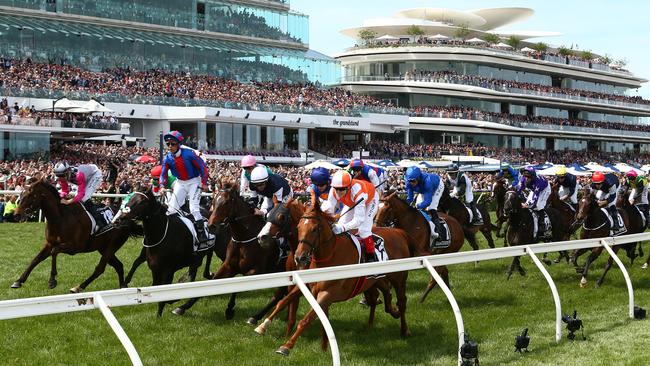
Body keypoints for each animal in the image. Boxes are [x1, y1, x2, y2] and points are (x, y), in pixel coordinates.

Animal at [111, 189, 220, 318]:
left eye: (141, 202)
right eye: (128, 198)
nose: (119, 219)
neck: (161, 233)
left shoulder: (168, 270)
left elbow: (164, 293)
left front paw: (160, 313)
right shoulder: (154, 268)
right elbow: (155, 286)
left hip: (205, 251)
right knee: (193, 271)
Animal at [170, 182, 284, 318]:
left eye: (226, 203)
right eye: (213, 201)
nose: (211, 226)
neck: (244, 237)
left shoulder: (259, 270)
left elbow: (238, 284)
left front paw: (229, 309)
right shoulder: (228, 265)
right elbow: (213, 282)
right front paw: (183, 306)